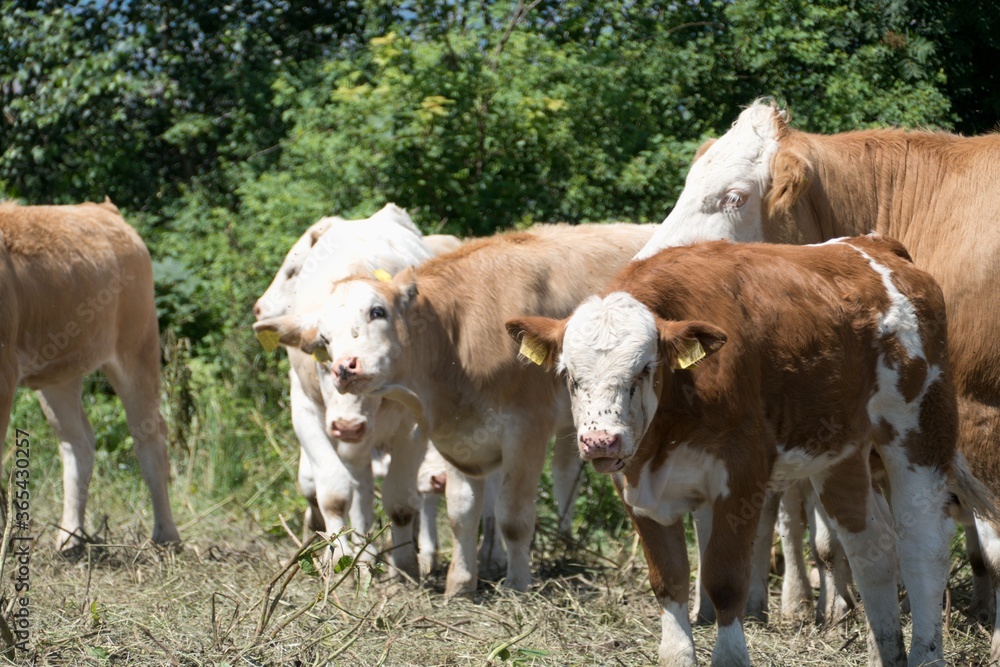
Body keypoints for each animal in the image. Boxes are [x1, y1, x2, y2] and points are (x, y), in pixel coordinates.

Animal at [0, 200, 179, 552]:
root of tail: (102, 209)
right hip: (57, 371)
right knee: (78, 440)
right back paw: (71, 536)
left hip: (137, 349)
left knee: (150, 435)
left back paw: (167, 535)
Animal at [268, 223, 654, 596]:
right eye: (324, 339)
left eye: (377, 312)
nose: (344, 368)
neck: (458, 340)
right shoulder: (459, 435)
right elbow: (462, 513)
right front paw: (461, 584)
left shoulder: (528, 428)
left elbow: (513, 516)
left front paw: (517, 584)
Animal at [506, 235, 985, 666]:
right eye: (569, 375)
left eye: (644, 369)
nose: (600, 440)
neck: (669, 424)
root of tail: (875, 247)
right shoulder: (639, 491)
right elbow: (670, 581)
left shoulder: (741, 476)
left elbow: (724, 580)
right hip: (842, 453)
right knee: (872, 551)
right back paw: (884, 652)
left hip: (919, 431)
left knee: (923, 547)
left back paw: (925, 653)